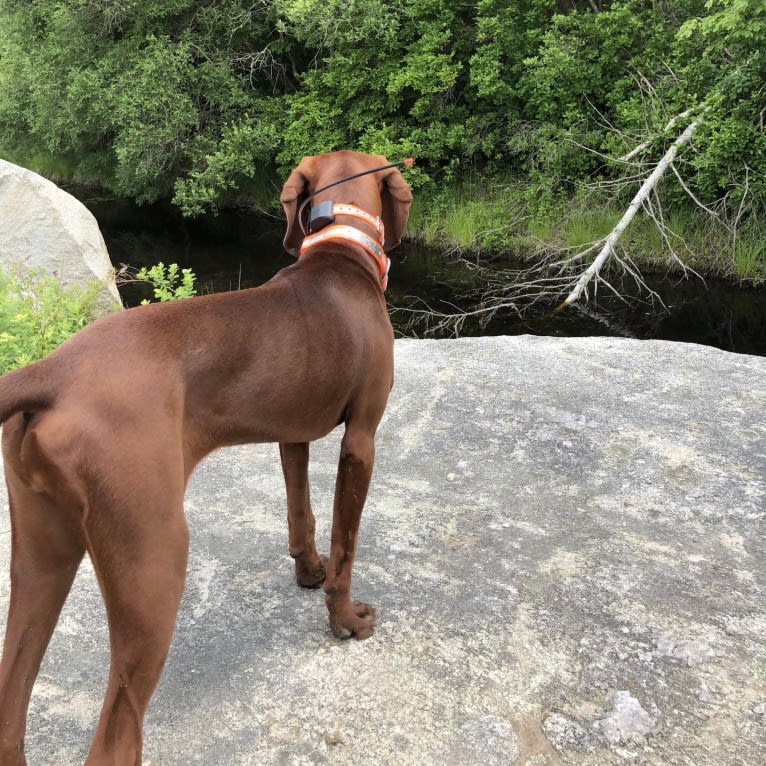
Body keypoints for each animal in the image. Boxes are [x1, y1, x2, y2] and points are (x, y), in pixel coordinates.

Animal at [0, 152, 414, 766]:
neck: (339, 252)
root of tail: (50, 371)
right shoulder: (361, 440)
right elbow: (346, 544)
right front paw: (344, 620)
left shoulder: (291, 434)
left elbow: (301, 512)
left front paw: (307, 571)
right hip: (154, 564)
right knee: (115, 738)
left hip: (42, 555)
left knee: (11, 707)